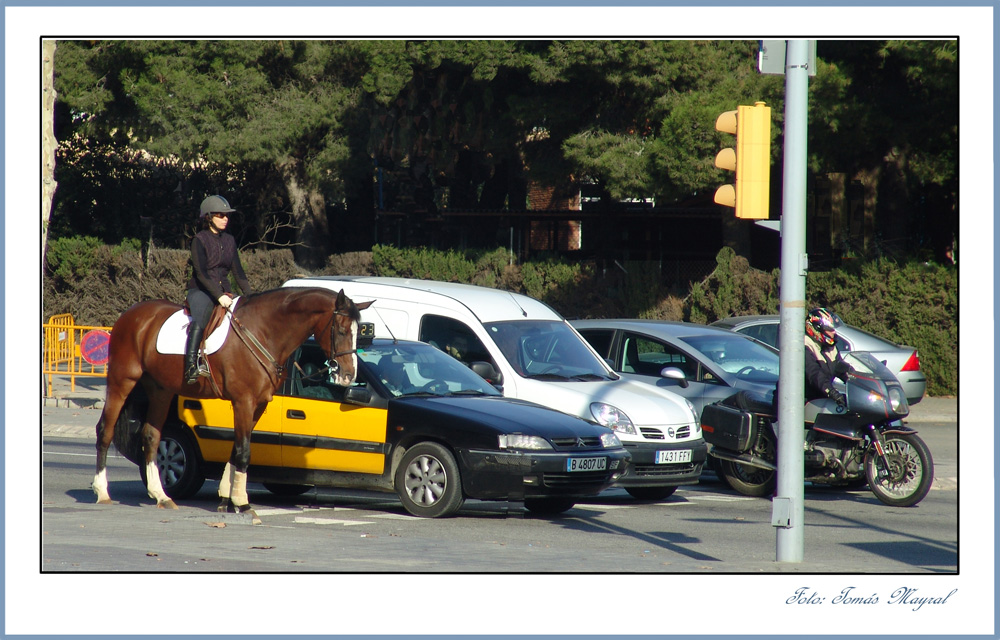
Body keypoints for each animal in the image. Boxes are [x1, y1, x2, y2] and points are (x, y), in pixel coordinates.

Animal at [89, 288, 372, 516]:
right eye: (342, 331)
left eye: (357, 335)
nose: (348, 376)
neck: (264, 331)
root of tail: (131, 315)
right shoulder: (243, 401)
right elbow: (244, 451)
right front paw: (242, 502)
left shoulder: (257, 404)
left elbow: (237, 447)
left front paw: (227, 498)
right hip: (122, 380)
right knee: (105, 430)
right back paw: (102, 491)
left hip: (160, 390)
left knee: (151, 436)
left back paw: (161, 495)